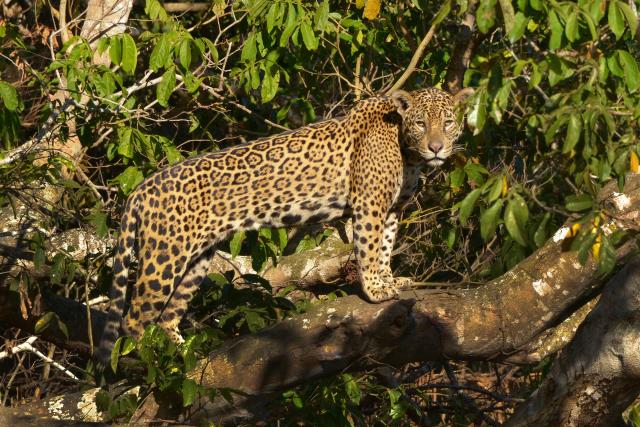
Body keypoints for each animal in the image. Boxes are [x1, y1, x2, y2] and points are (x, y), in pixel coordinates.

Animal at [96, 86, 473, 365]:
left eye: (448, 122)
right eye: (421, 123)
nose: (436, 148)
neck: (405, 149)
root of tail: (142, 188)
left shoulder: (393, 208)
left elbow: (385, 247)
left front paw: (391, 280)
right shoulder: (370, 205)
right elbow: (368, 249)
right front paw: (375, 290)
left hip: (196, 260)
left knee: (167, 315)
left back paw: (183, 357)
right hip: (165, 256)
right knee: (134, 319)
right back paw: (147, 365)